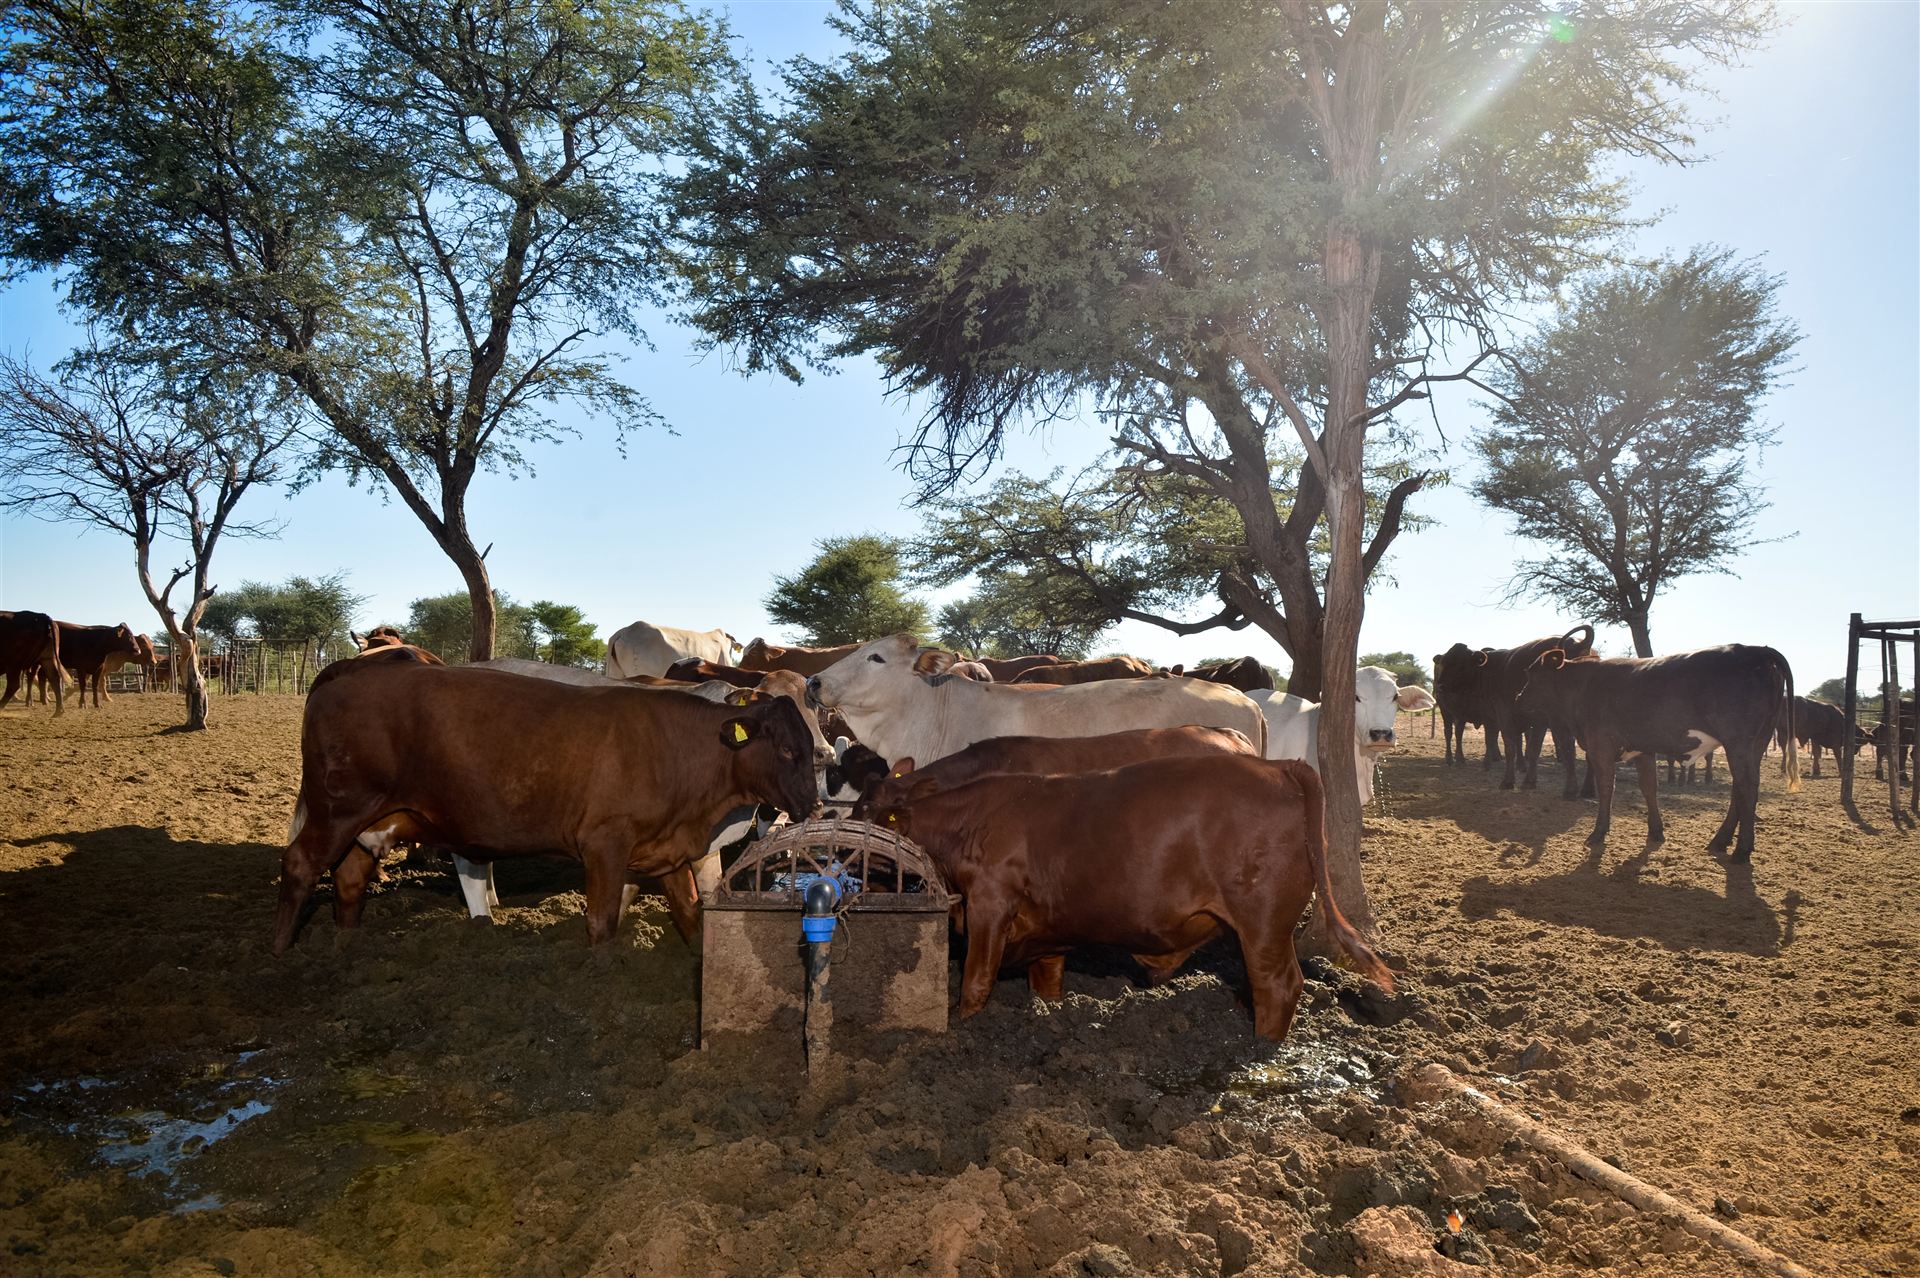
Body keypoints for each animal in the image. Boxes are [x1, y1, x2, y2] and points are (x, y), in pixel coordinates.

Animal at [276, 661, 820, 952]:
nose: (813, 801)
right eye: (787, 750)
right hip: (338, 809)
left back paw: (349, 946)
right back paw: (284, 952)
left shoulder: (662, 848)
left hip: (370, 821)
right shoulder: (606, 842)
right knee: (301, 864)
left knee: (349, 879)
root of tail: (336, 680)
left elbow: (688, 912)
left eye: (817, 722)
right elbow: (605, 919)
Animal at [867, 754, 1391, 1040]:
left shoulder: (989, 907)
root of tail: (1277, 766)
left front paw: (963, 1028)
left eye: (871, 814)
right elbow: (1047, 982)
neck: (967, 821)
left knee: (1278, 984)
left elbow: (976, 982)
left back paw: (1260, 1048)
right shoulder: (1048, 930)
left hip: (1263, 921)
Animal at [1516, 644, 1799, 860]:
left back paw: (1742, 850)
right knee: (1739, 790)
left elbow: (1607, 788)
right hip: (1755, 743)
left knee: (1747, 789)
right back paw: (1720, 841)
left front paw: (1598, 833)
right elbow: (1649, 787)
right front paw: (1655, 831)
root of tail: (1756, 650)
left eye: (1531, 673)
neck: (1584, 685)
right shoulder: (1643, 749)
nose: (1518, 698)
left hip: (1739, 744)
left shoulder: (1600, 747)